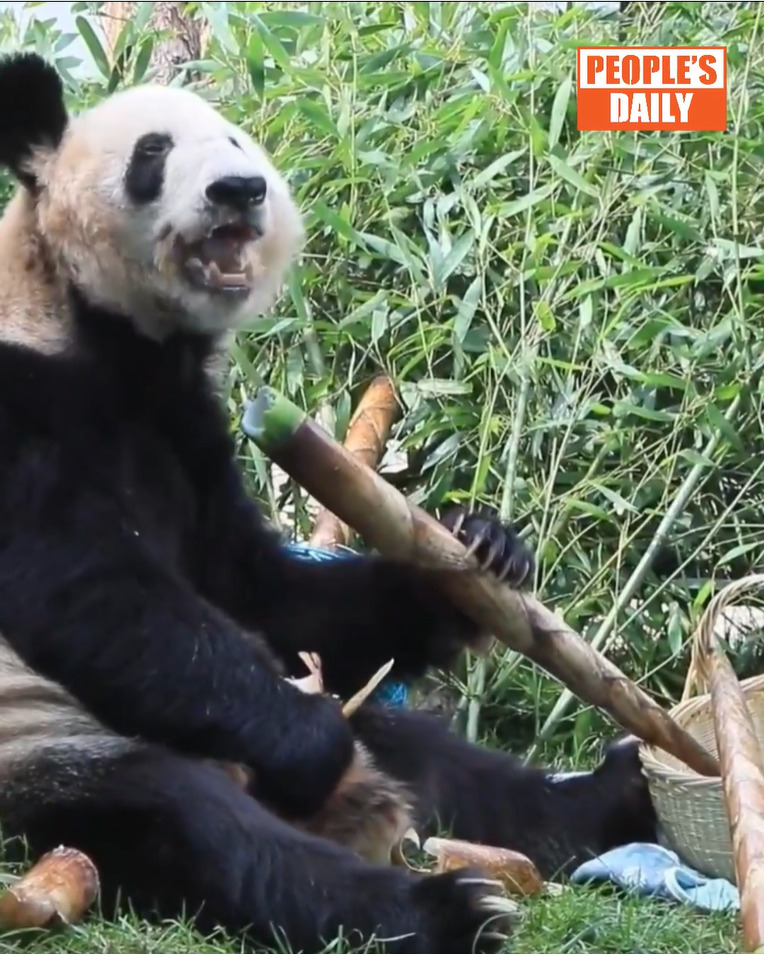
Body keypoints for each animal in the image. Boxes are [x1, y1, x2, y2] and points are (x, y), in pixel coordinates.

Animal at [0, 52, 656, 952]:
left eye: (236, 141)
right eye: (152, 153)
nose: (240, 190)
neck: (104, 330)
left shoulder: (189, 432)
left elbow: (264, 591)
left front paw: (479, 553)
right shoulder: (23, 404)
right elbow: (96, 597)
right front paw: (307, 741)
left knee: (440, 760)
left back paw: (605, 801)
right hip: (47, 751)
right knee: (195, 825)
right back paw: (445, 909)